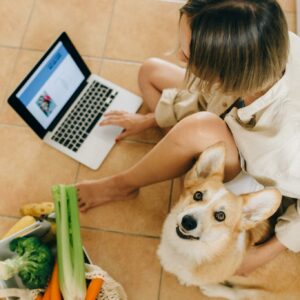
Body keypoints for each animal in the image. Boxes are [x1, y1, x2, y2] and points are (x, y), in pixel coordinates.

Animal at [157, 143, 300, 300]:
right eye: (198, 195)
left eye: (220, 216)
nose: (187, 222)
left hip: (257, 294)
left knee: (239, 294)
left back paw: (212, 289)